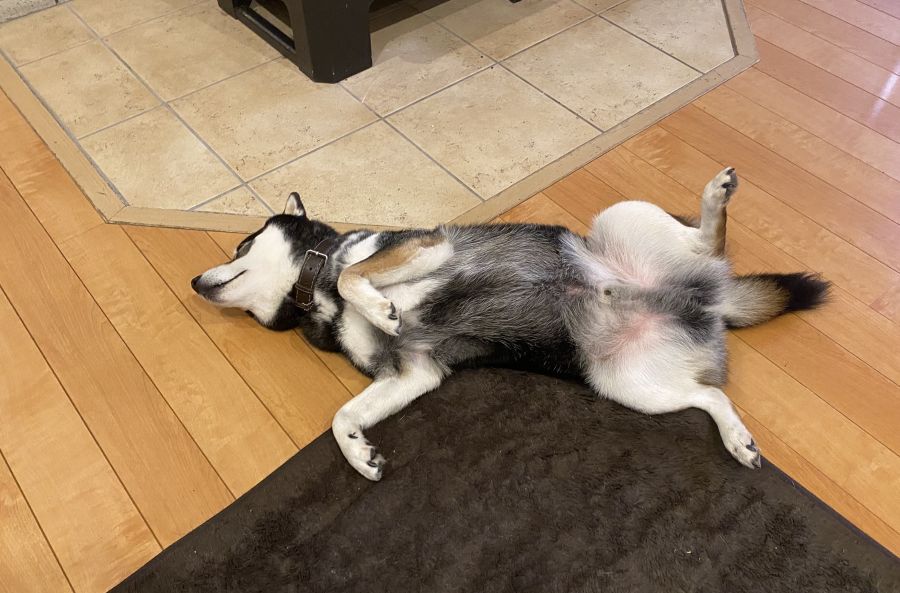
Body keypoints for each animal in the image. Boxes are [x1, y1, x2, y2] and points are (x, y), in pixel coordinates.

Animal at [191, 168, 828, 481]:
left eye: (242, 244)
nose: (195, 283)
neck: (312, 287)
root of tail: (708, 300)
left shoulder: (425, 248)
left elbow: (356, 275)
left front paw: (380, 307)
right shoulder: (413, 372)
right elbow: (341, 417)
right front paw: (359, 454)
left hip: (619, 220)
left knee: (710, 242)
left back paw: (715, 198)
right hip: (627, 383)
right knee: (711, 398)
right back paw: (738, 440)